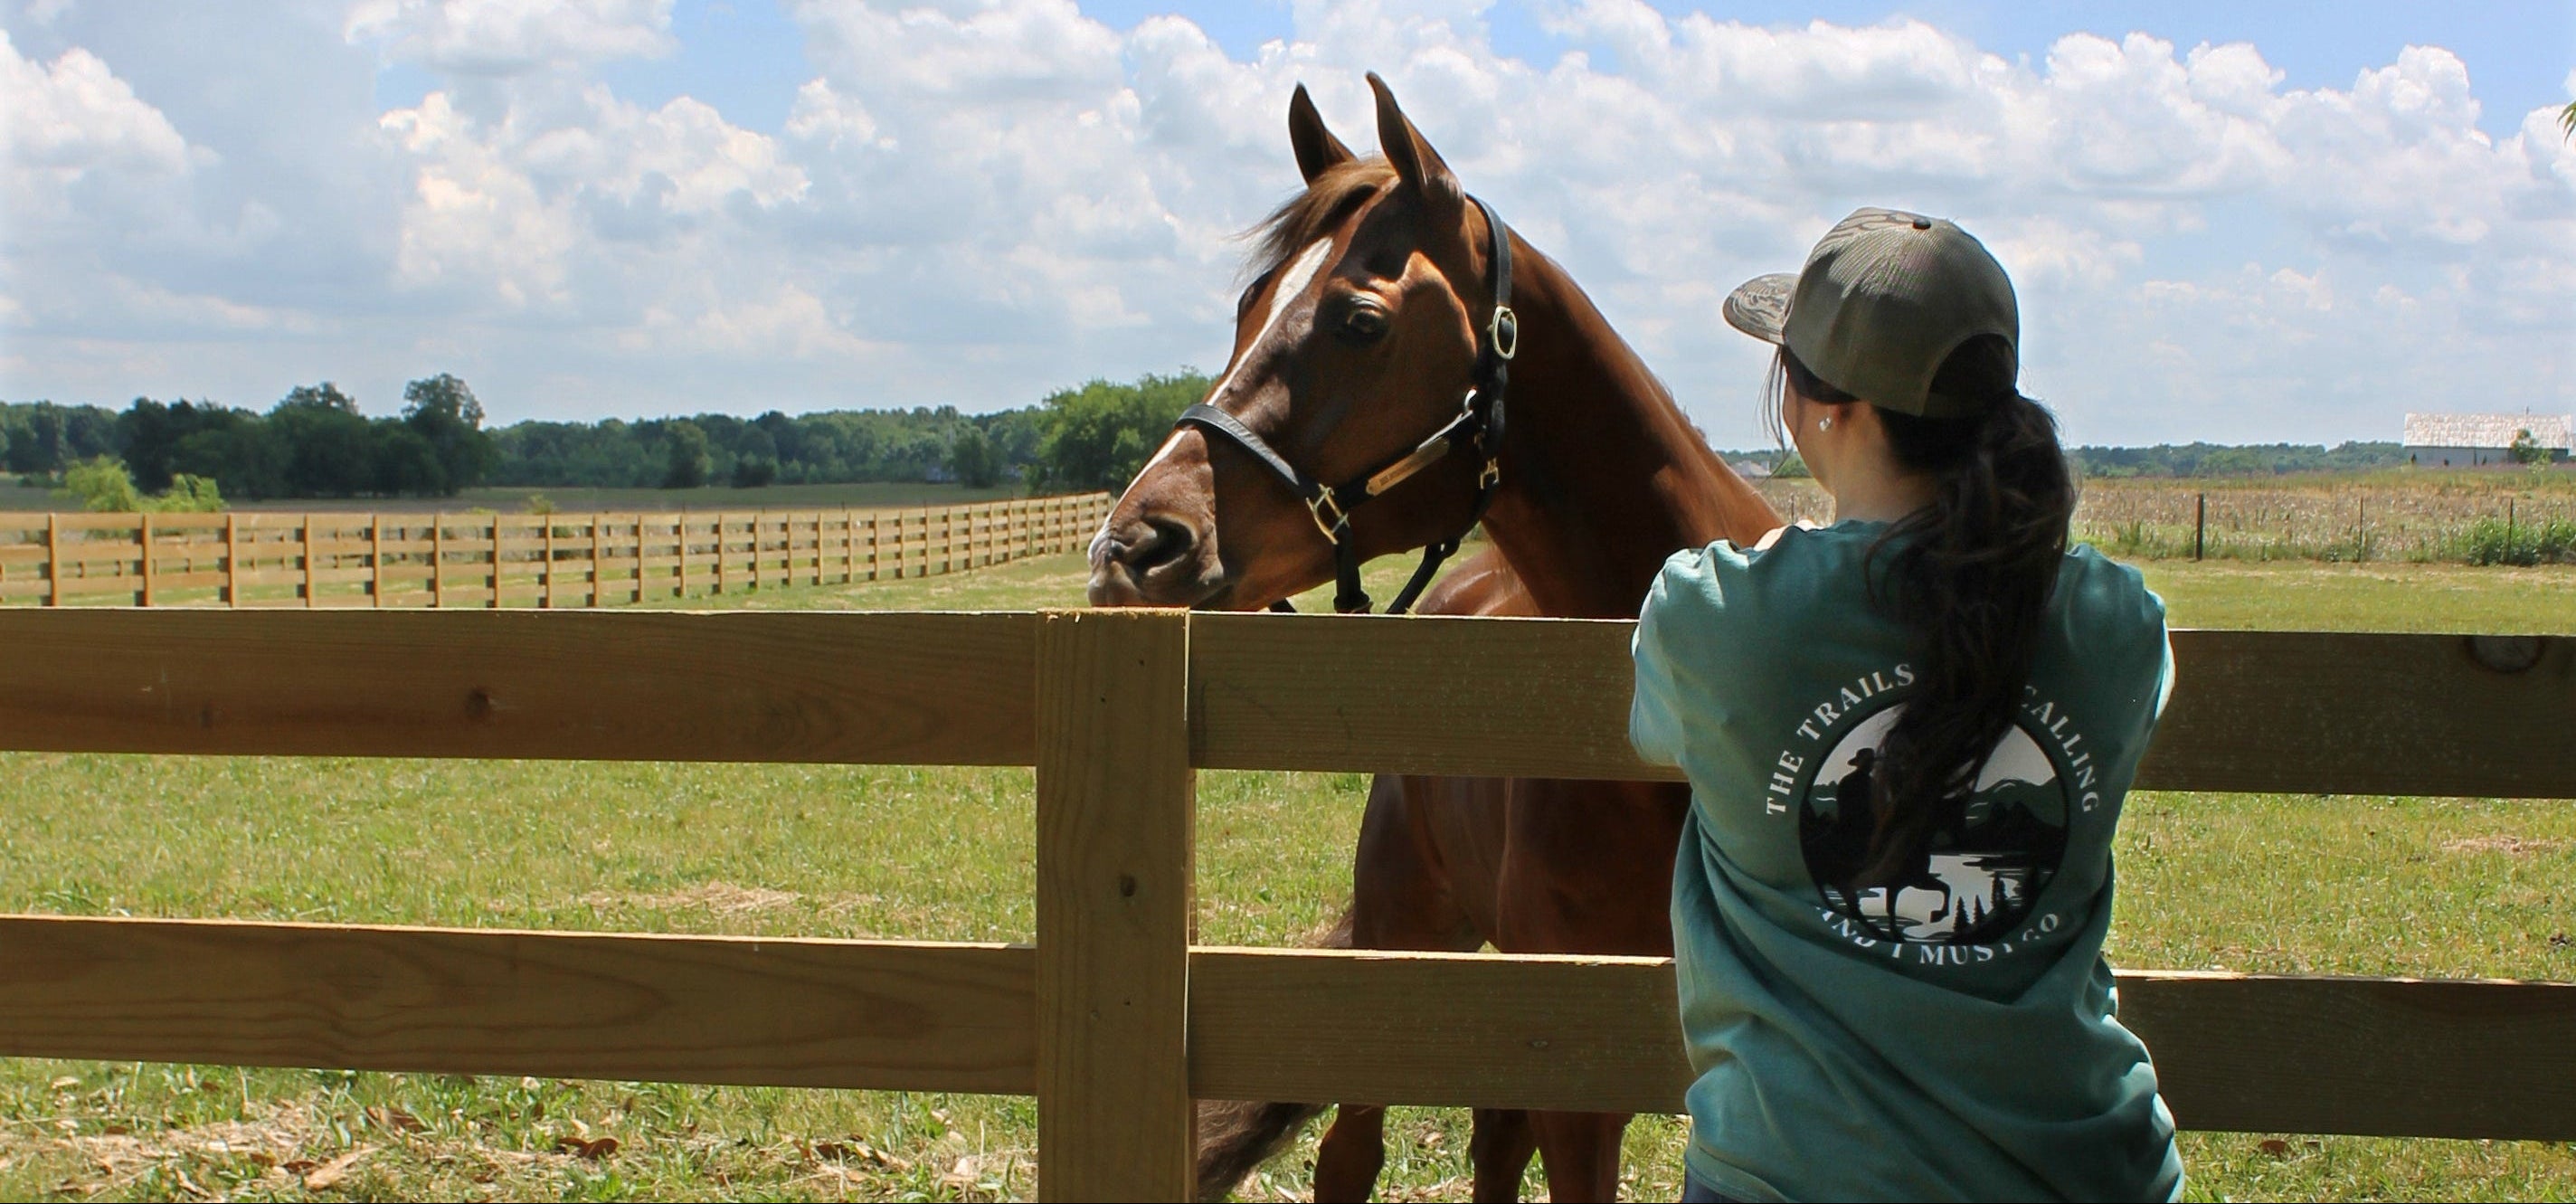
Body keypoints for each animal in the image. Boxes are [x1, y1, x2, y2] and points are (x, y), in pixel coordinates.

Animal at [1088, 75, 1782, 1202]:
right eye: (1248, 308)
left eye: (1359, 321)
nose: (1134, 545)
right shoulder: (1582, 1082)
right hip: (1406, 942)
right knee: (1354, 1148)